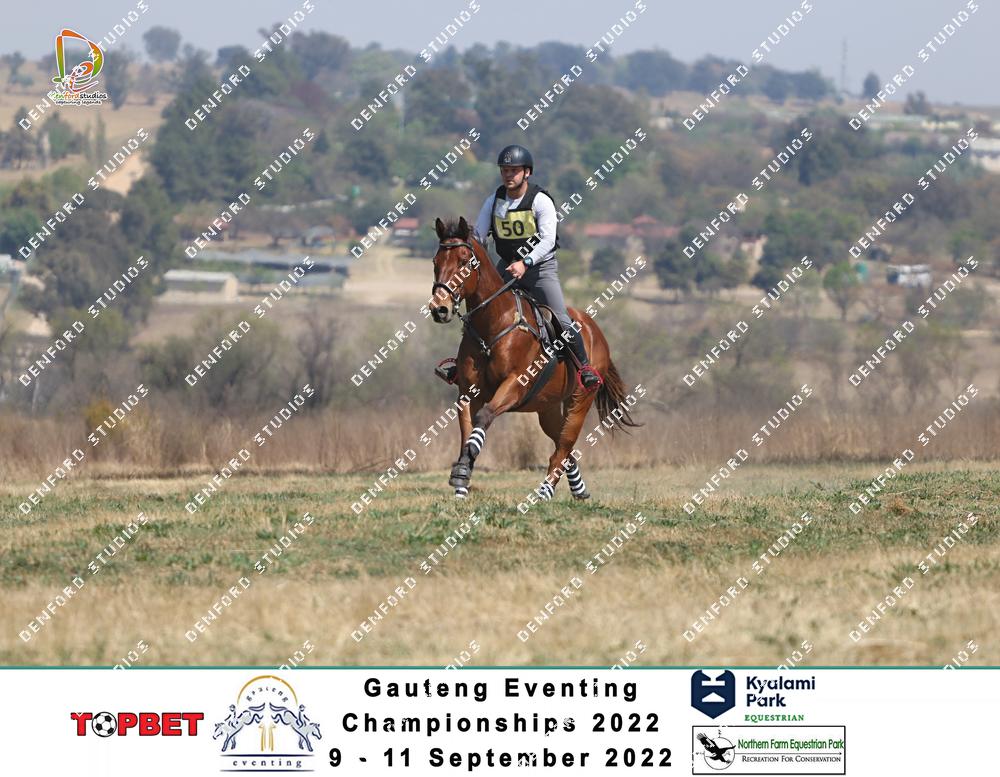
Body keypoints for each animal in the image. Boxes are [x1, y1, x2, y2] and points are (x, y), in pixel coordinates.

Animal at [427, 216, 638, 500]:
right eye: (435, 262)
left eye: (464, 262)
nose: (439, 309)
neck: (494, 323)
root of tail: (595, 330)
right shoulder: (468, 392)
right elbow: (466, 430)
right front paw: (461, 480)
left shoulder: (515, 385)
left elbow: (484, 416)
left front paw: (464, 470)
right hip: (547, 407)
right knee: (562, 444)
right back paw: (579, 490)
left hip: (580, 400)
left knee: (564, 446)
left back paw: (545, 492)